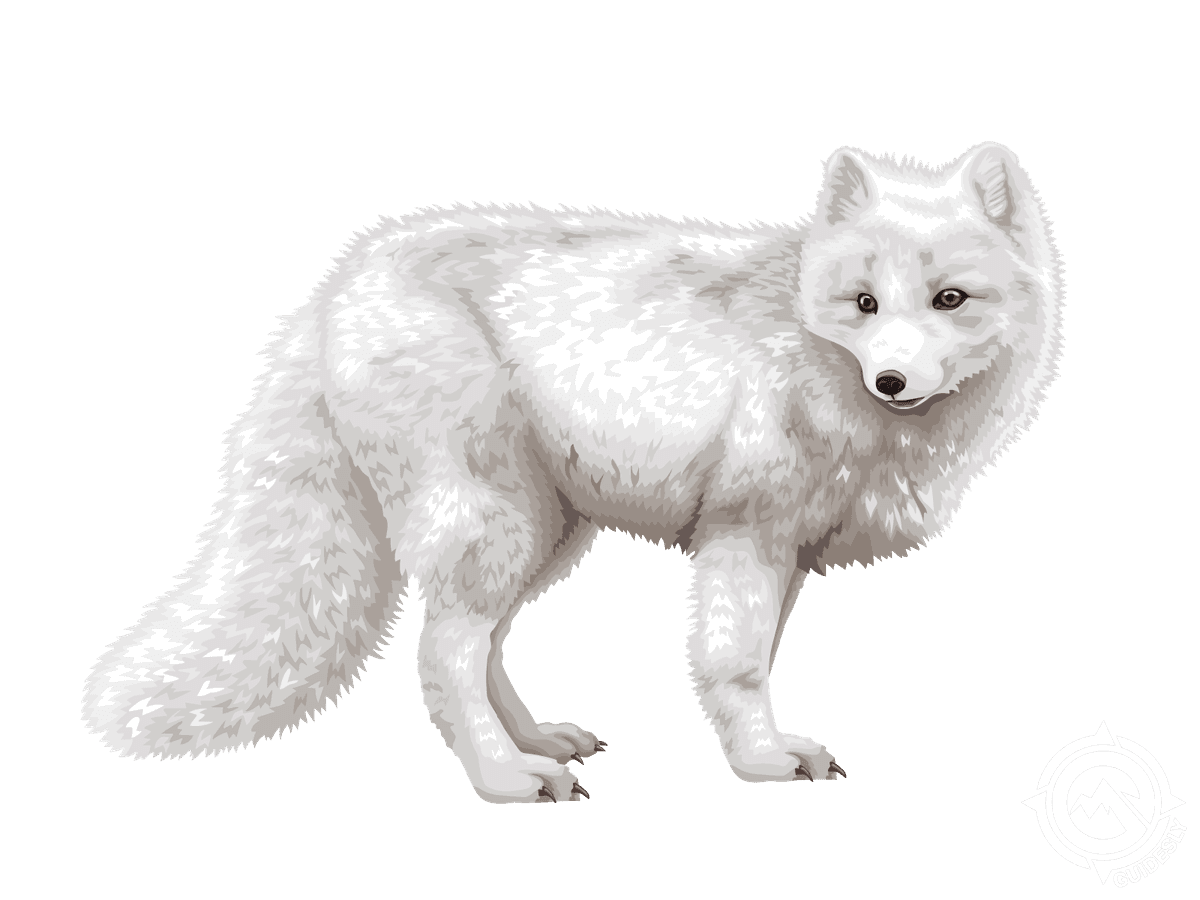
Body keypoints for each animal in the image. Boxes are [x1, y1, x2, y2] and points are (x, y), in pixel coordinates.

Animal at [83, 142, 1064, 803]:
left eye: (948, 300)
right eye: (863, 304)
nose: (891, 379)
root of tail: (335, 282)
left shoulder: (789, 553)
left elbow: (758, 657)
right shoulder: (745, 537)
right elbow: (733, 665)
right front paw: (758, 761)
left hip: (548, 532)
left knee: (485, 646)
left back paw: (537, 743)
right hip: (499, 522)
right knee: (441, 658)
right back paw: (504, 777)